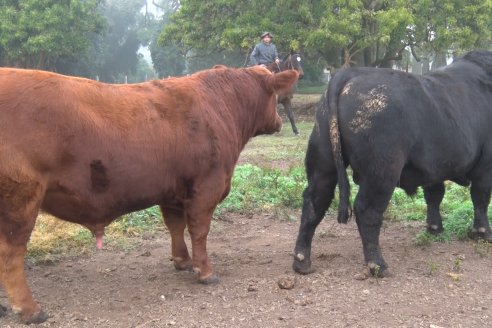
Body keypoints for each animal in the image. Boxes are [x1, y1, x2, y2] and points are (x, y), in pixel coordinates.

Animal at [294, 50, 490, 276]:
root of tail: (349, 73)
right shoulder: (486, 165)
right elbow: (480, 197)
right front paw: (483, 233)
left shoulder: (434, 167)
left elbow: (434, 195)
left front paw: (435, 229)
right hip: (383, 170)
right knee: (366, 210)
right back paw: (377, 264)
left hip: (323, 162)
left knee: (314, 202)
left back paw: (302, 261)